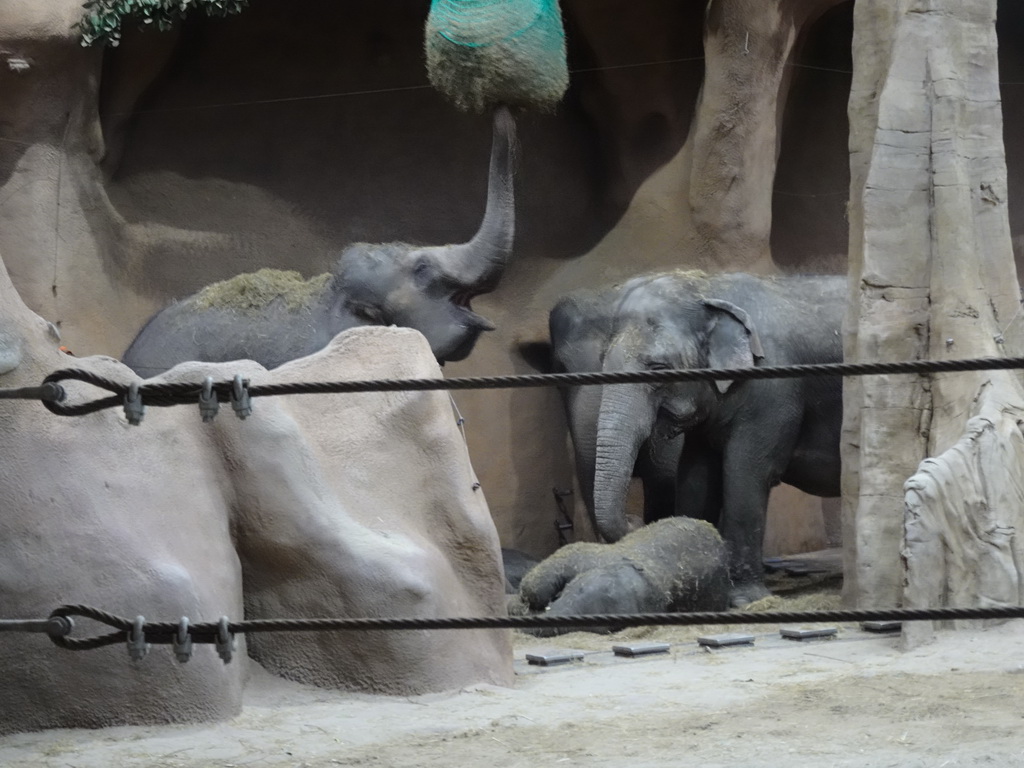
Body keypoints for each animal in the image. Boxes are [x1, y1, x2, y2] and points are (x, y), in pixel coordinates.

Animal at [557, 270, 843, 606]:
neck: (709, 288)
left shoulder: (773, 391)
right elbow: (696, 478)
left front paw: (746, 599)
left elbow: (746, 474)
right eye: (603, 362)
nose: (635, 520)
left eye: (658, 367)